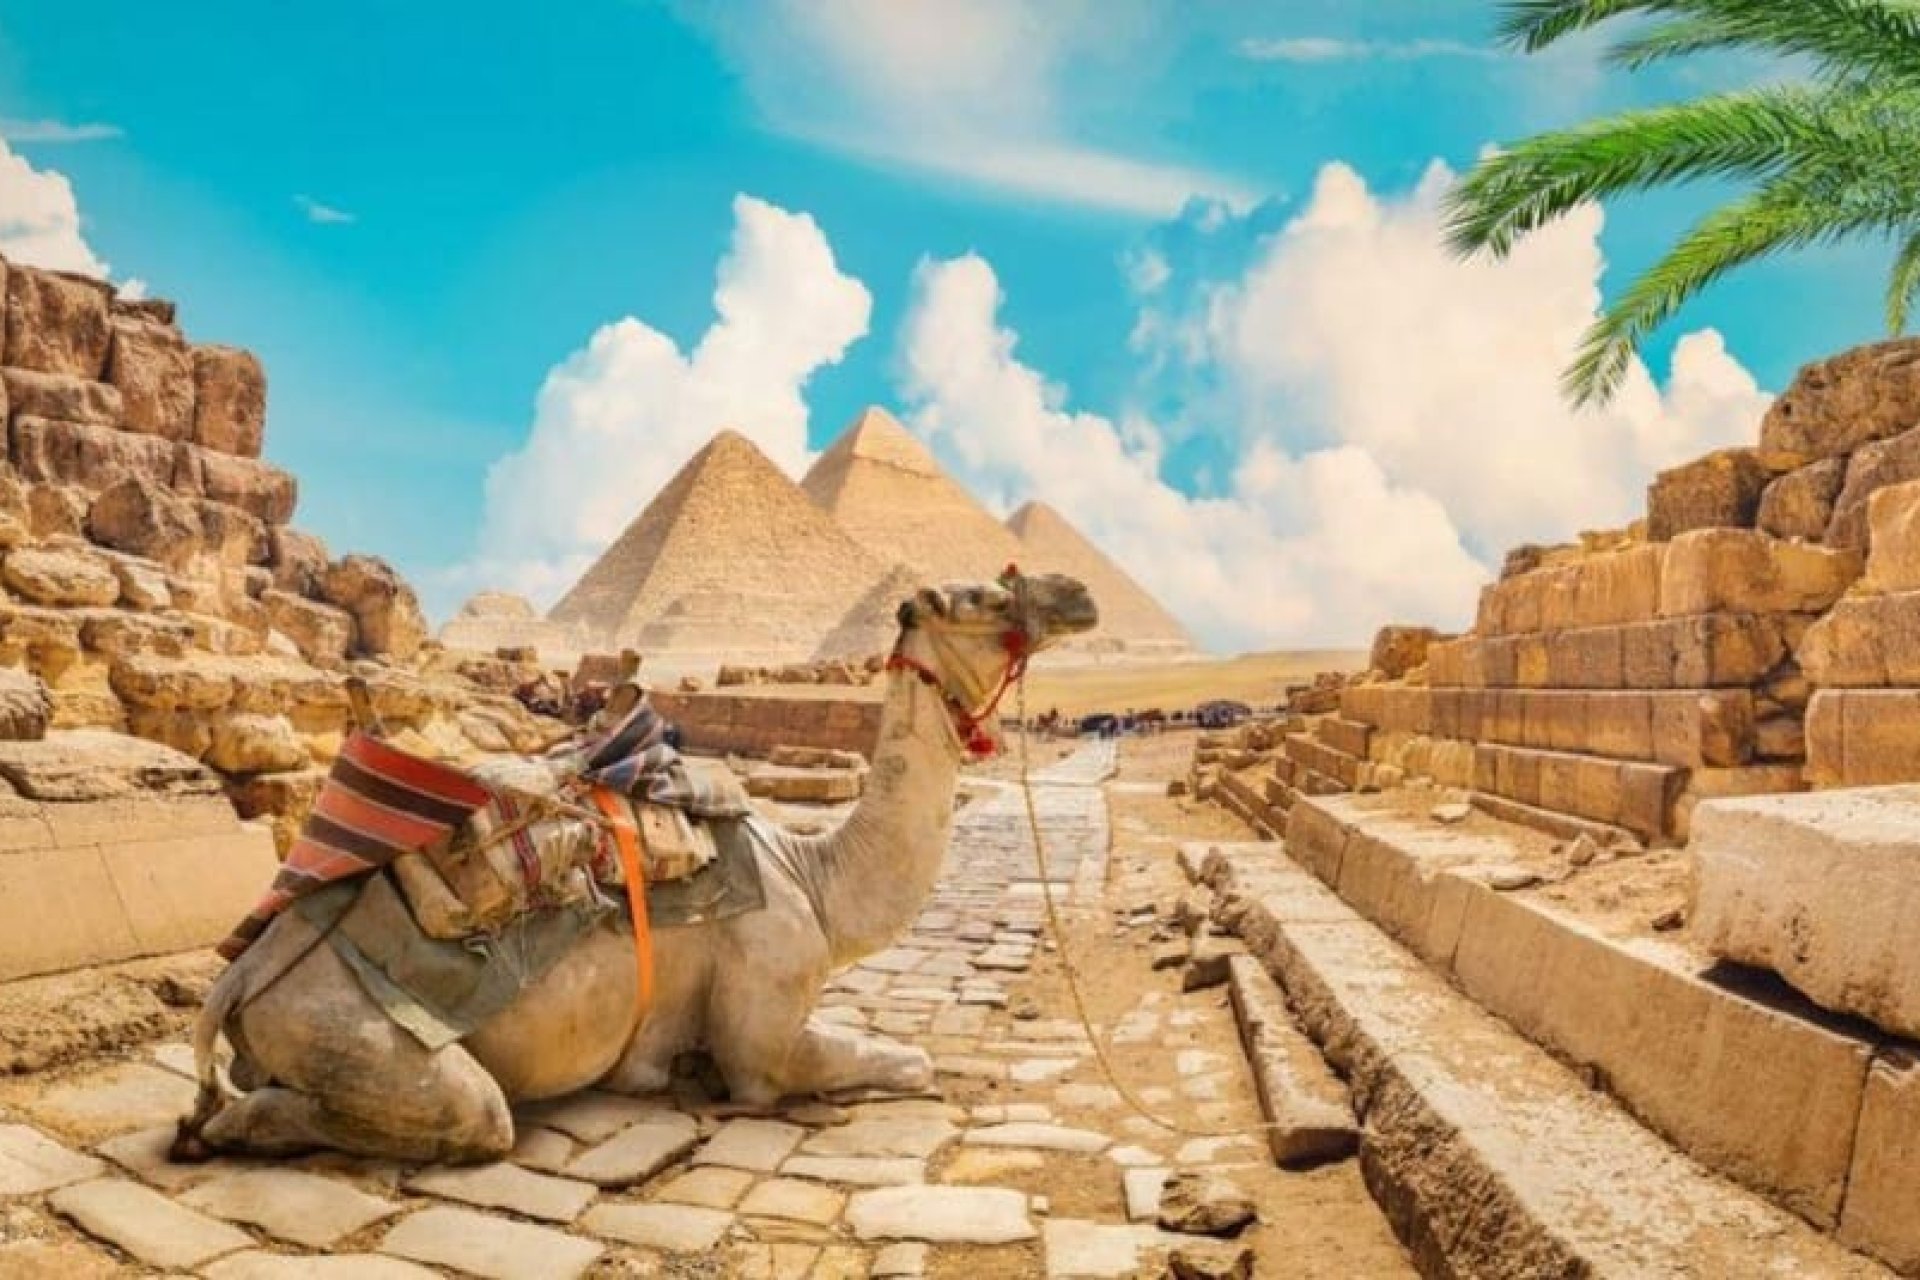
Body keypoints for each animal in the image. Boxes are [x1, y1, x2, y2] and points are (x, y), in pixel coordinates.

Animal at [174, 571, 1097, 1163]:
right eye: (983, 597)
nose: (1079, 595)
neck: (817, 875)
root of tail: (238, 977)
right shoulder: (764, 1024)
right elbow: (903, 1063)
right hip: (346, 1029)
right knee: (469, 1116)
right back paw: (216, 1131)